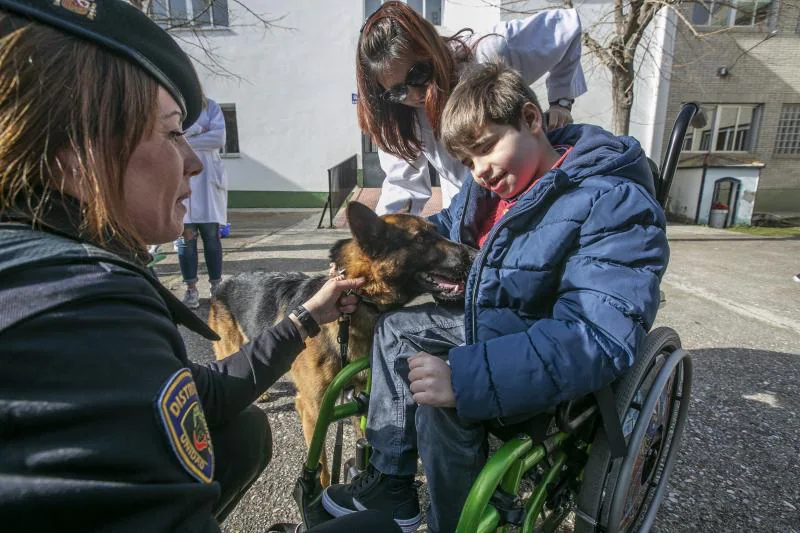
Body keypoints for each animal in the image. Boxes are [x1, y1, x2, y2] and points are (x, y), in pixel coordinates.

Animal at [209, 202, 478, 484]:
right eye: (421, 239)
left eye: (436, 232)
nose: (475, 253)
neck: (360, 301)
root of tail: (225, 281)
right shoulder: (313, 409)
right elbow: (322, 464)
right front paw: (323, 488)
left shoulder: (359, 396)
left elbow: (365, 438)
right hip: (229, 347)